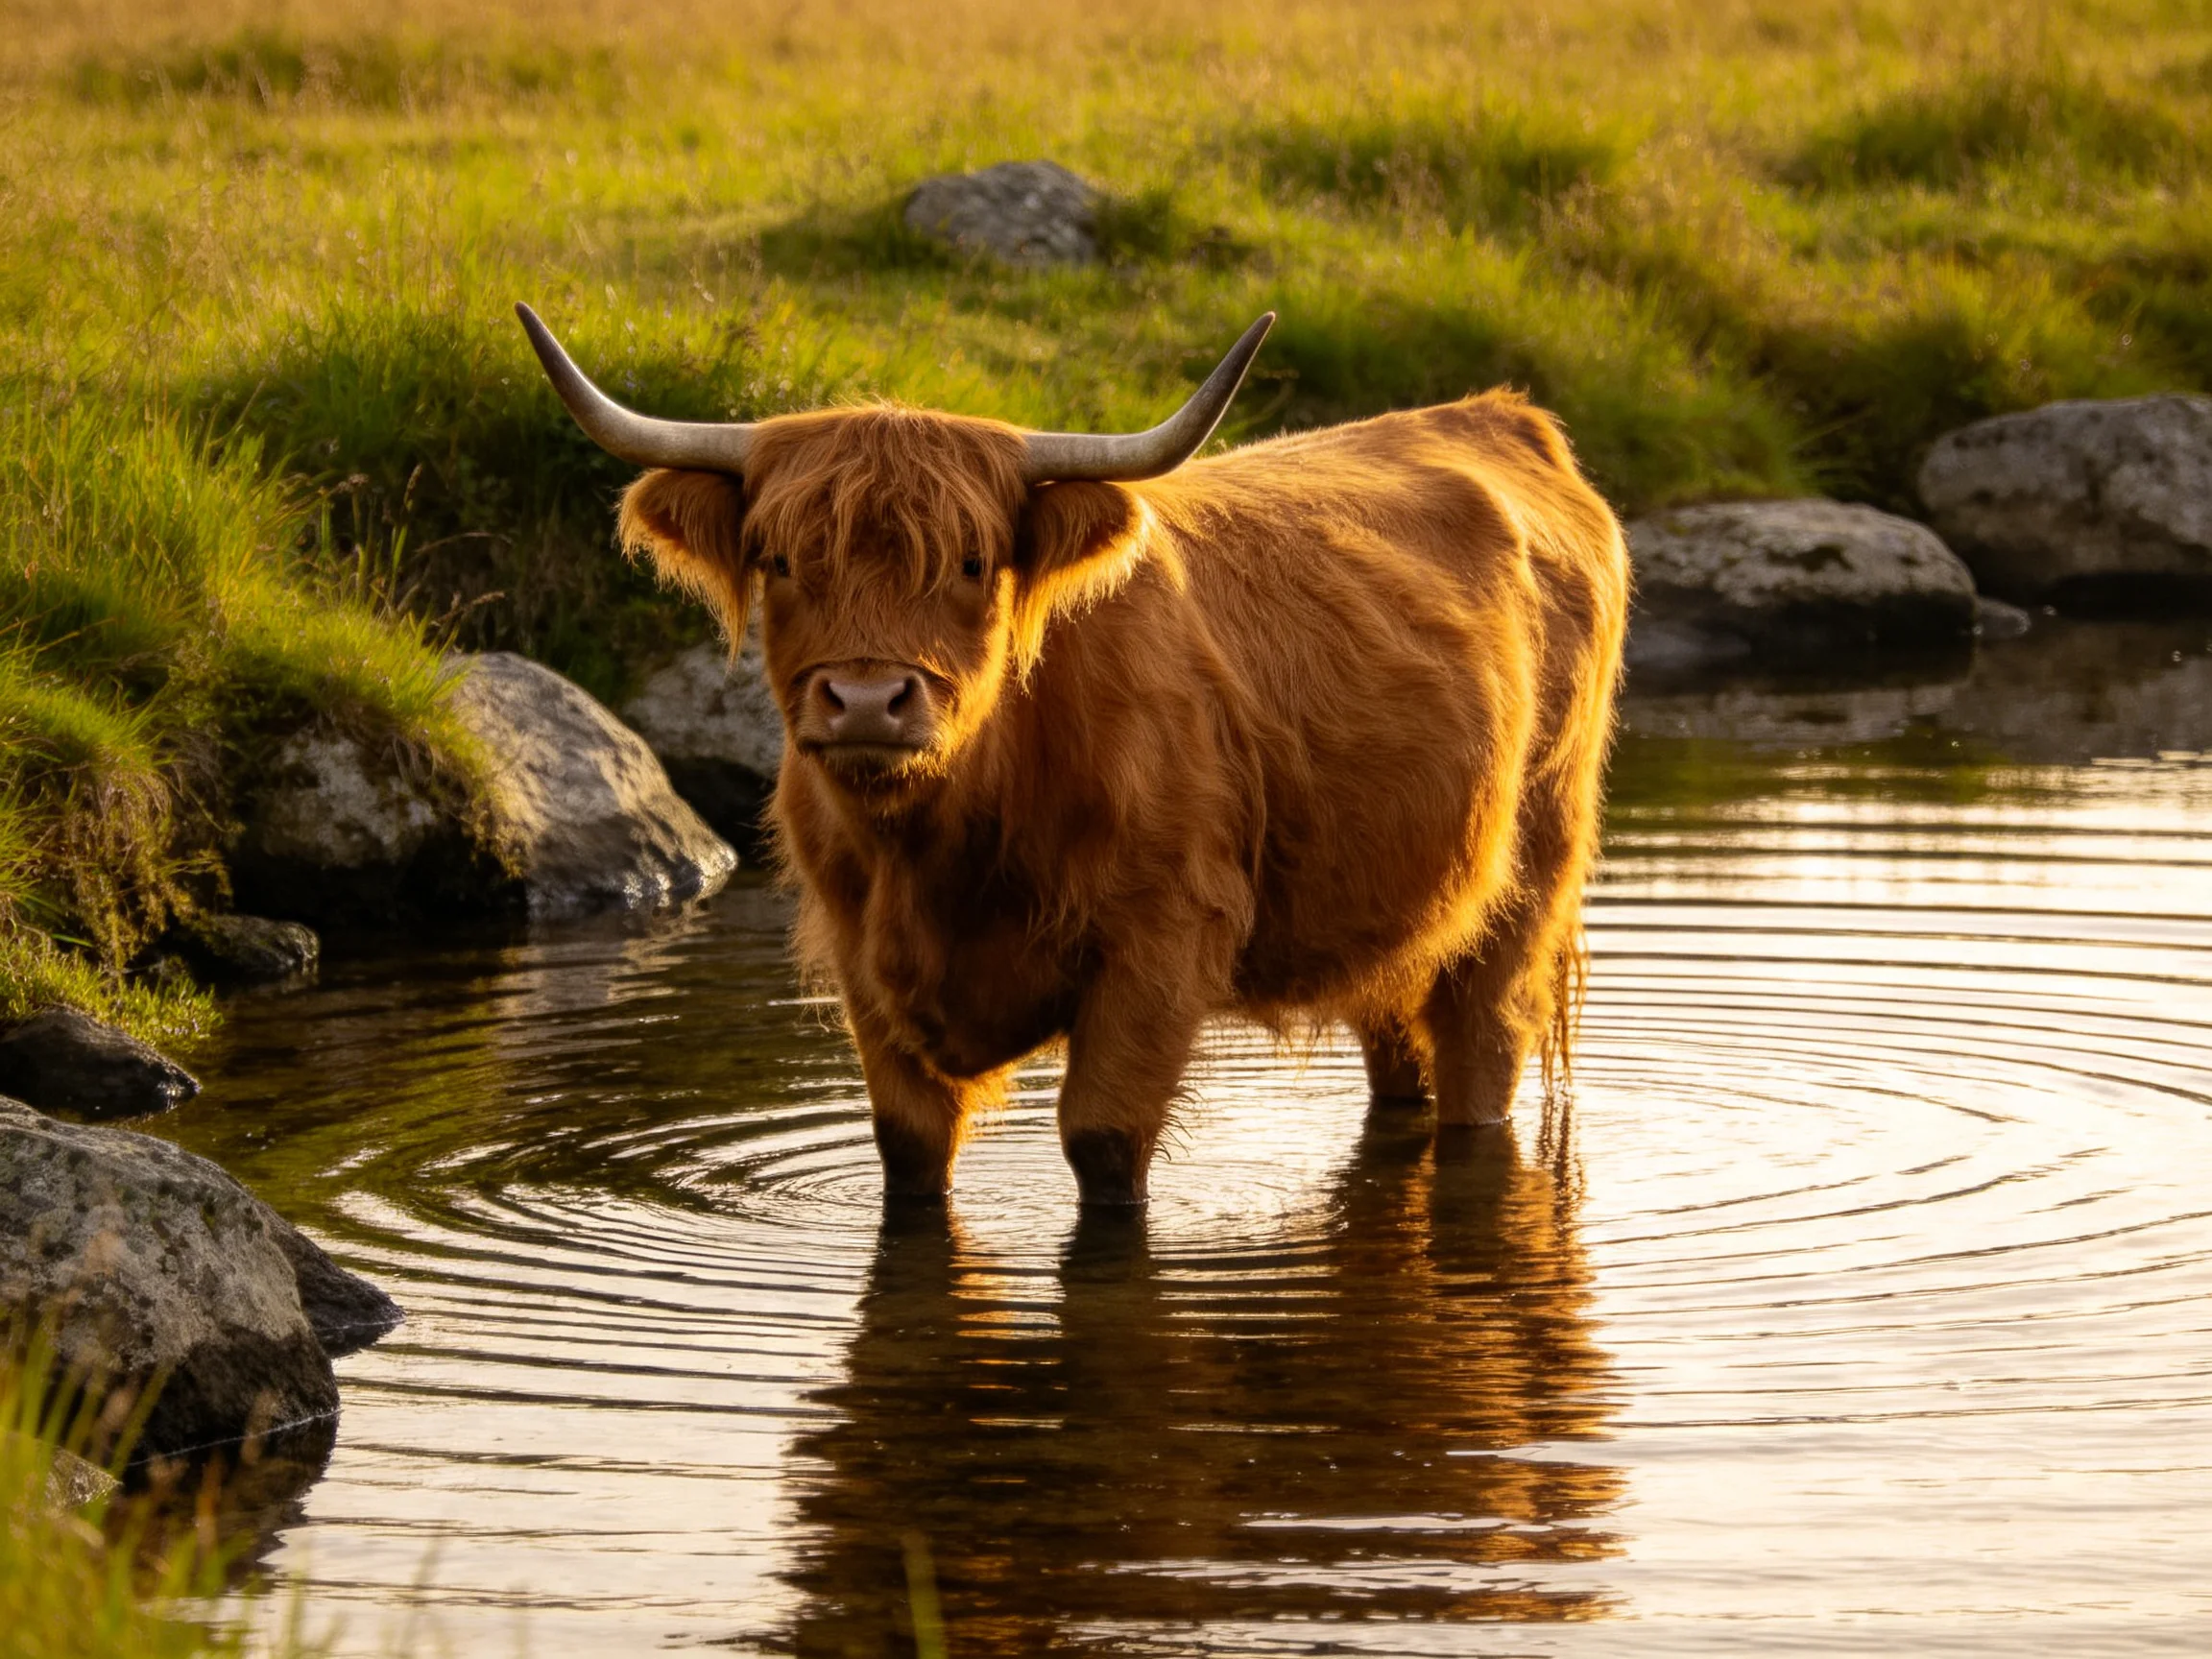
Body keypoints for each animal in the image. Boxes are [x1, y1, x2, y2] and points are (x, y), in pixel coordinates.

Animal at [516, 303, 1629, 1208]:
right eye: (782, 559)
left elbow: (1102, 1142)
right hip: (1393, 909)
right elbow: (908, 1149)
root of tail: (1495, 416)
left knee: (1483, 1054)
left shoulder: (1163, 936)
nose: (869, 700)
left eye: (972, 562)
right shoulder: (861, 958)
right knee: (1399, 1054)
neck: (944, 843)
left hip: (1530, 873)